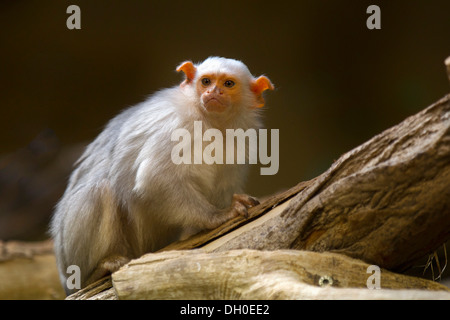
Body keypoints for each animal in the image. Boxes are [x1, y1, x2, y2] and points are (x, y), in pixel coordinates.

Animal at [50, 56, 272, 294]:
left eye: (228, 84)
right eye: (206, 81)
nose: (213, 92)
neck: (214, 123)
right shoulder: (177, 125)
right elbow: (155, 177)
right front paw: (218, 216)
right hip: (69, 254)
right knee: (100, 192)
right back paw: (95, 272)